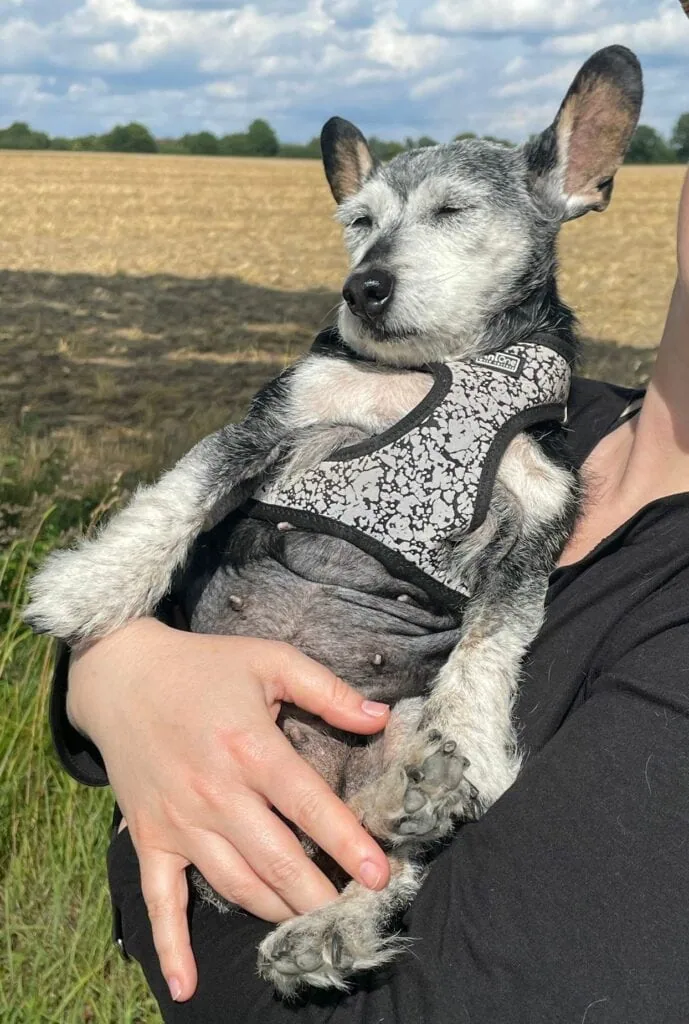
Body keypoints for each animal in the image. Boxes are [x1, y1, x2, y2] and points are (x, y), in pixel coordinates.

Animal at [26, 46, 642, 996]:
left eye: (453, 211)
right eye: (358, 221)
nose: (364, 289)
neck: (431, 375)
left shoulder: (532, 525)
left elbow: (489, 648)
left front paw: (472, 740)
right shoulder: (275, 423)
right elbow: (181, 494)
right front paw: (95, 585)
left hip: (390, 729)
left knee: (388, 857)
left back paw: (361, 880)